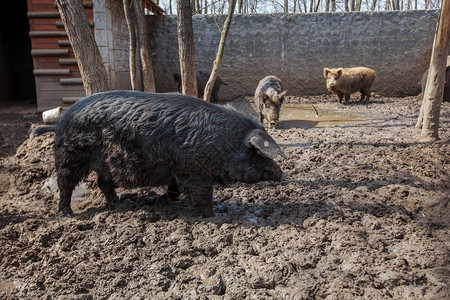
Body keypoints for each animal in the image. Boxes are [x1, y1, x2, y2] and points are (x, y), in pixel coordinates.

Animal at [33, 90, 284, 217]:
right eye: (257, 152)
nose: (281, 173)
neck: (224, 143)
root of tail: (60, 122)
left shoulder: (177, 171)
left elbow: (174, 190)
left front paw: (164, 201)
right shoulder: (196, 173)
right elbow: (203, 197)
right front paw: (213, 216)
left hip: (105, 164)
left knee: (104, 183)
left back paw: (118, 204)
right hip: (70, 158)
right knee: (65, 185)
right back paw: (67, 214)